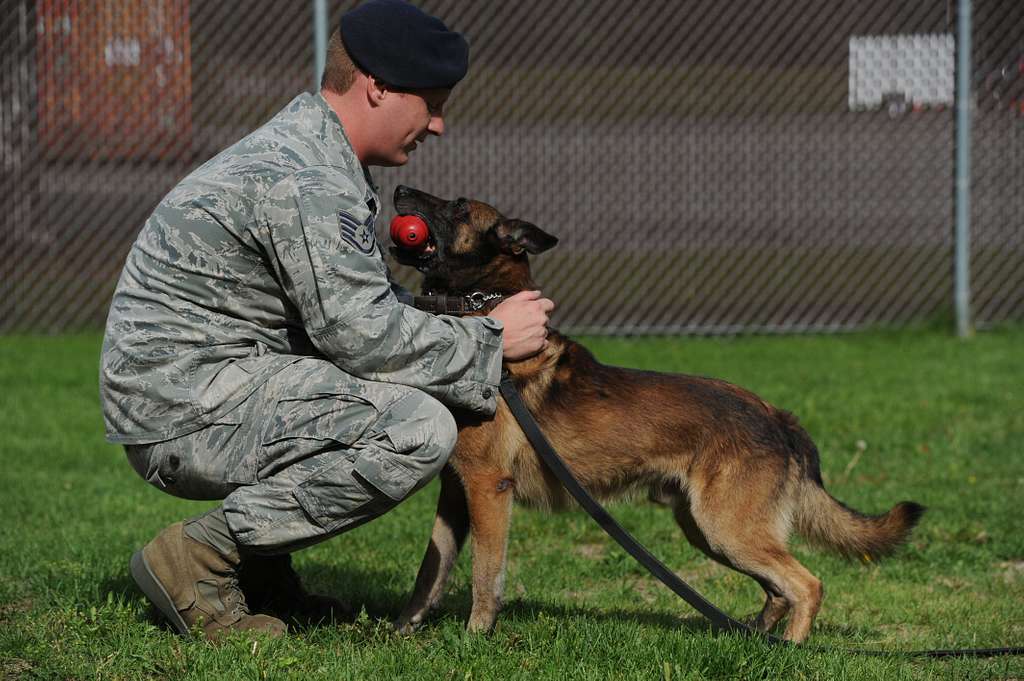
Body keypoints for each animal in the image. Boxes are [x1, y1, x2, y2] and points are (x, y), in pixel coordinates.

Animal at [387, 183, 925, 639]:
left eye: (458, 207)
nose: (399, 189)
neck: (484, 311)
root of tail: (778, 417)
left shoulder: (488, 488)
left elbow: (485, 574)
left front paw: (476, 636)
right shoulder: (455, 493)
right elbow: (431, 570)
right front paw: (402, 631)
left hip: (727, 530)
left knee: (806, 584)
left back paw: (789, 648)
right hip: (710, 531)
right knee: (778, 590)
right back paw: (756, 639)